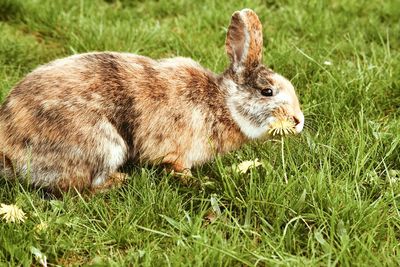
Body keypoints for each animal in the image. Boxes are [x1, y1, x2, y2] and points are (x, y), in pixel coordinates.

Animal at [0, 8, 304, 193]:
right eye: (267, 92)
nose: (298, 121)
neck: (223, 103)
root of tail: (9, 152)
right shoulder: (176, 151)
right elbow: (177, 167)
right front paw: (198, 182)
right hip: (105, 145)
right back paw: (119, 180)